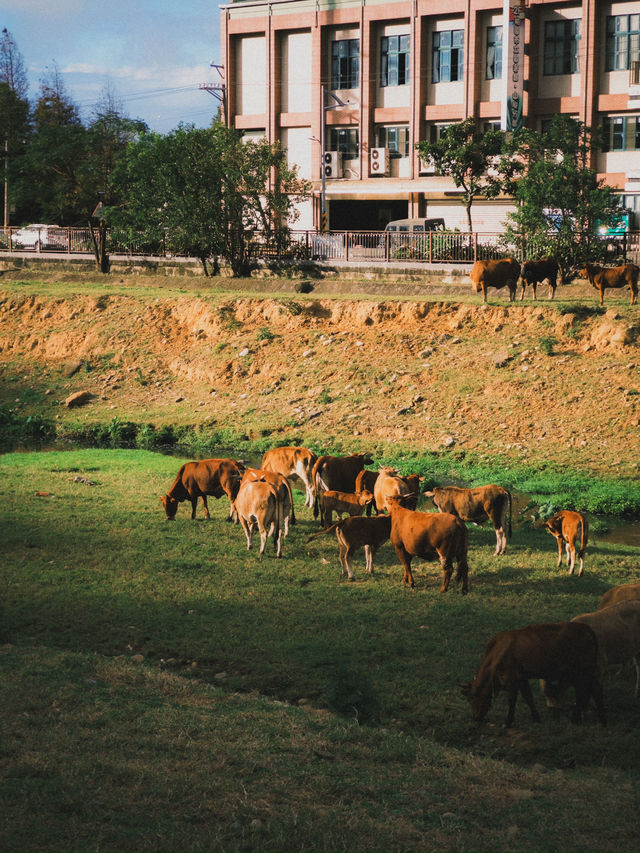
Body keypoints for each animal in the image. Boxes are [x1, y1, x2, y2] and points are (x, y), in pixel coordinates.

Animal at [460, 620, 604, 724]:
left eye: (472, 698)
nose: (475, 718)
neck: (497, 654)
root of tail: (587, 629)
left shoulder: (512, 680)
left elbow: (512, 700)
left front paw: (508, 722)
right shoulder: (522, 679)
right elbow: (528, 697)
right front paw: (536, 718)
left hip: (582, 672)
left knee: (586, 691)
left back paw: (581, 719)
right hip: (584, 673)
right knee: (593, 689)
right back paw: (599, 719)